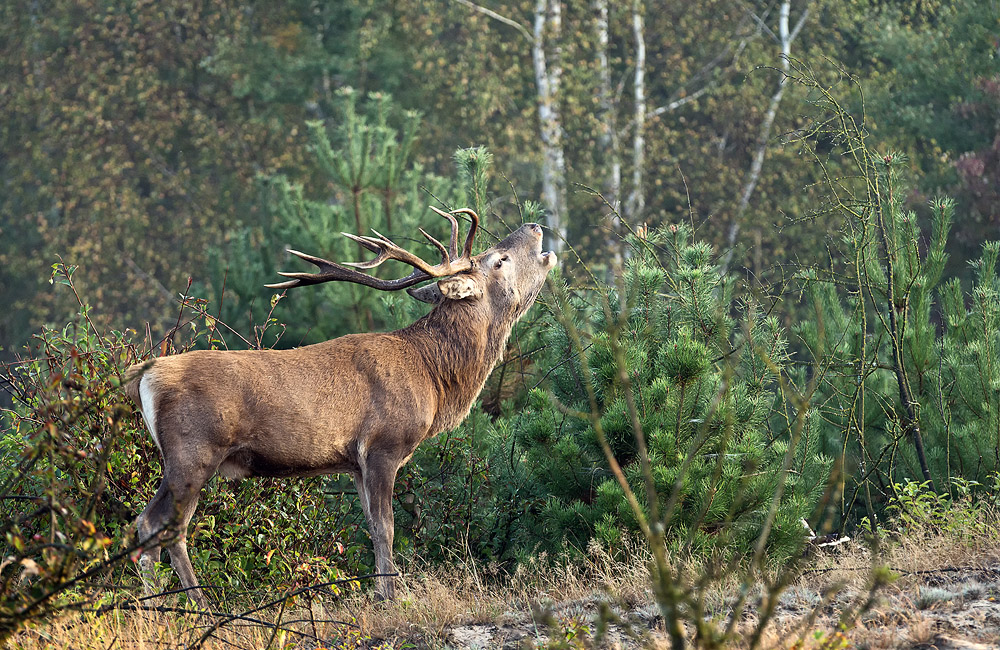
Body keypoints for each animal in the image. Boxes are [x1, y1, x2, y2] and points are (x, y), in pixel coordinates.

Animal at [123, 207, 557, 607]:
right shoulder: (383, 445)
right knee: (157, 524)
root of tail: (143, 374)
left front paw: (381, 593)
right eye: (498, 259)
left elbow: (371, 526)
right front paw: (392, 597)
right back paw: (187, 606)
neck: (432, 377)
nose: (535, 226)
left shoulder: (354, 463)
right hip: (192, 450)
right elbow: (387, 527)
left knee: (159, 527)